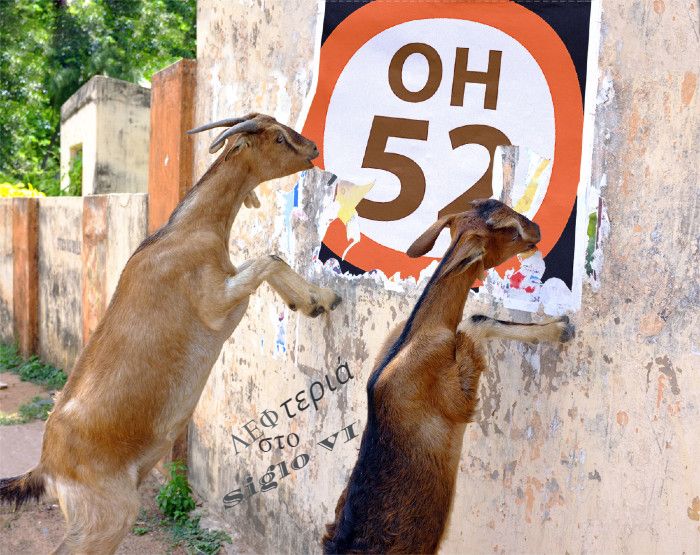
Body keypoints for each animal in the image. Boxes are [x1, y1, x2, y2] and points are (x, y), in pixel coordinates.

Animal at [0, 114, 340, 555]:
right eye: (279, 138)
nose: (314, 148)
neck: (189, 232)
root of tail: (46, 466)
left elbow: (270, 262)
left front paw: (312, 301)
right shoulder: (215, 305)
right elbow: (269, 259)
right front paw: (321, 298)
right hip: (106, 515)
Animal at [322, 200, 576, 555]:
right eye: (509, 231)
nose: (537, 229)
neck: (416, 334)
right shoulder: (456, 399)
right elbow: (475, 320)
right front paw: (559, 329)